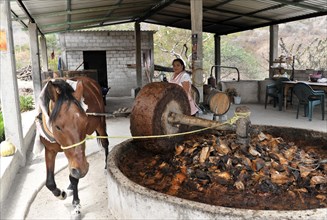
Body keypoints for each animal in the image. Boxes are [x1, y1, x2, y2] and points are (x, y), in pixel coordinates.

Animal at [39, 76, 109, 215]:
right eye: (57, 126)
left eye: (85, 122)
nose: (83, 170)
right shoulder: (50, 150)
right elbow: (50, 182)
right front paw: (61, 193)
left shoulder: (77, 159)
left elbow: (74, 177)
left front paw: (76, 204)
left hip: (100, 124)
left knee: (105, 143)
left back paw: (106, 166)